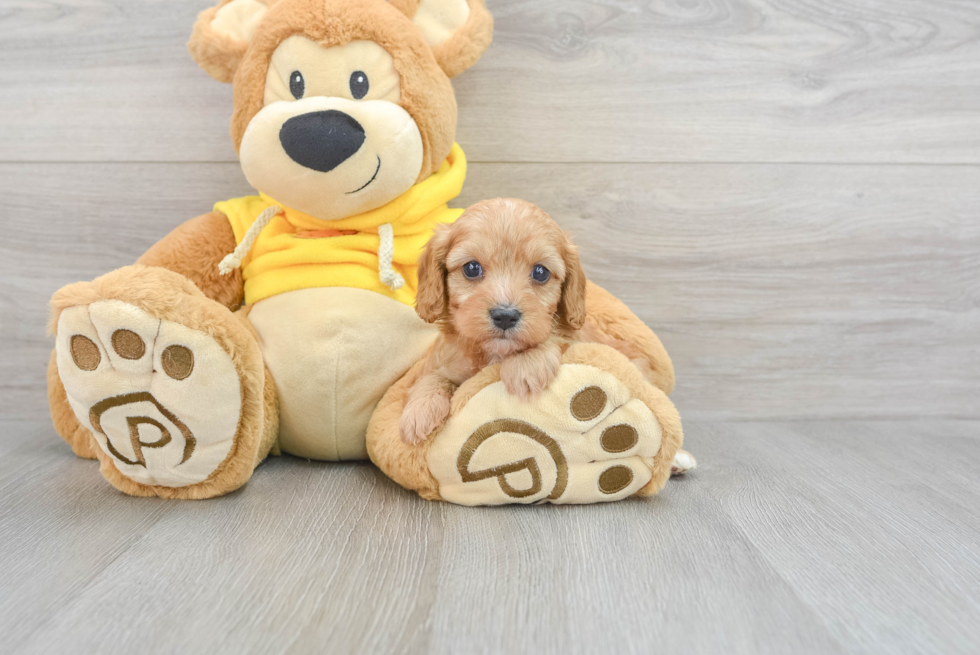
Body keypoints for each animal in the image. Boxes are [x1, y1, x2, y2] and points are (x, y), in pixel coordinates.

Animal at [398, 199, 652, 446]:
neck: (495, 353)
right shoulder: (448, 361)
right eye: (471, 268)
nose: (505, 316)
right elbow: (431, 377)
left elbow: (554, 337)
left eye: (540, 272)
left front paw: (526, 364)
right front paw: (419, 411)